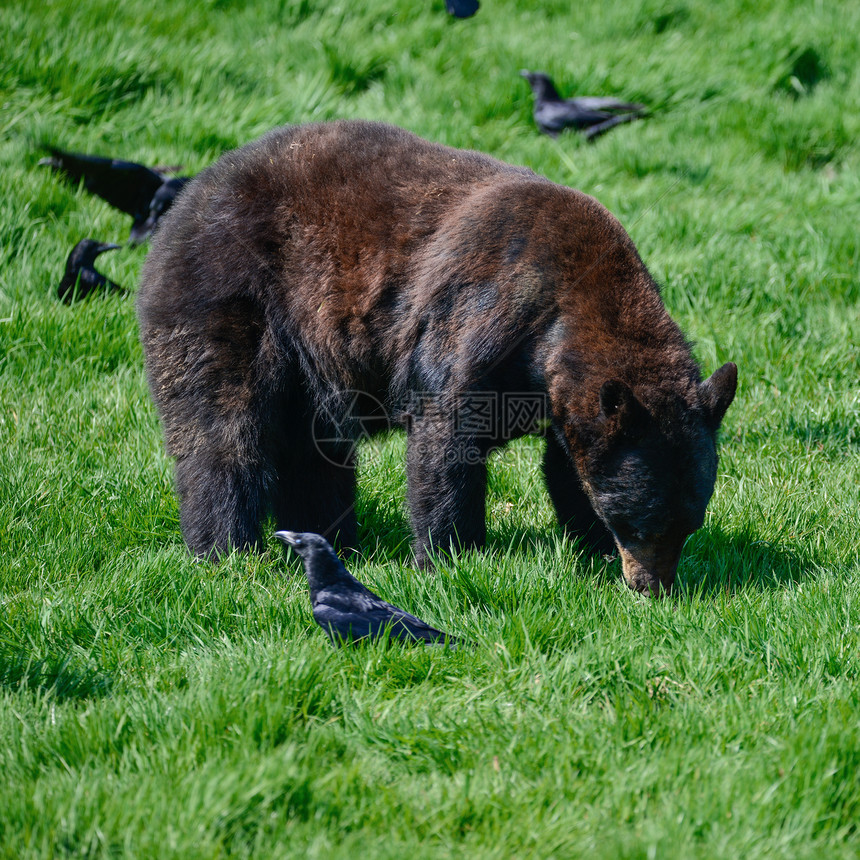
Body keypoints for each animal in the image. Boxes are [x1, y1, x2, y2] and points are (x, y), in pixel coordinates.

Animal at [138, 119, 736, 592]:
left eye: (688, 524)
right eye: (636, 522)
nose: (651, 587)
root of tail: (186, 199)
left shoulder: (564, 397)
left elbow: (566, 463)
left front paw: (590, 550)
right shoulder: (478, 322)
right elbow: (446, 443)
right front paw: (450, 556)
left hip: (310, 362)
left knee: (314, 449)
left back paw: (331, 541)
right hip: (230, 299)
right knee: (226, 431)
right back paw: (227, 552)